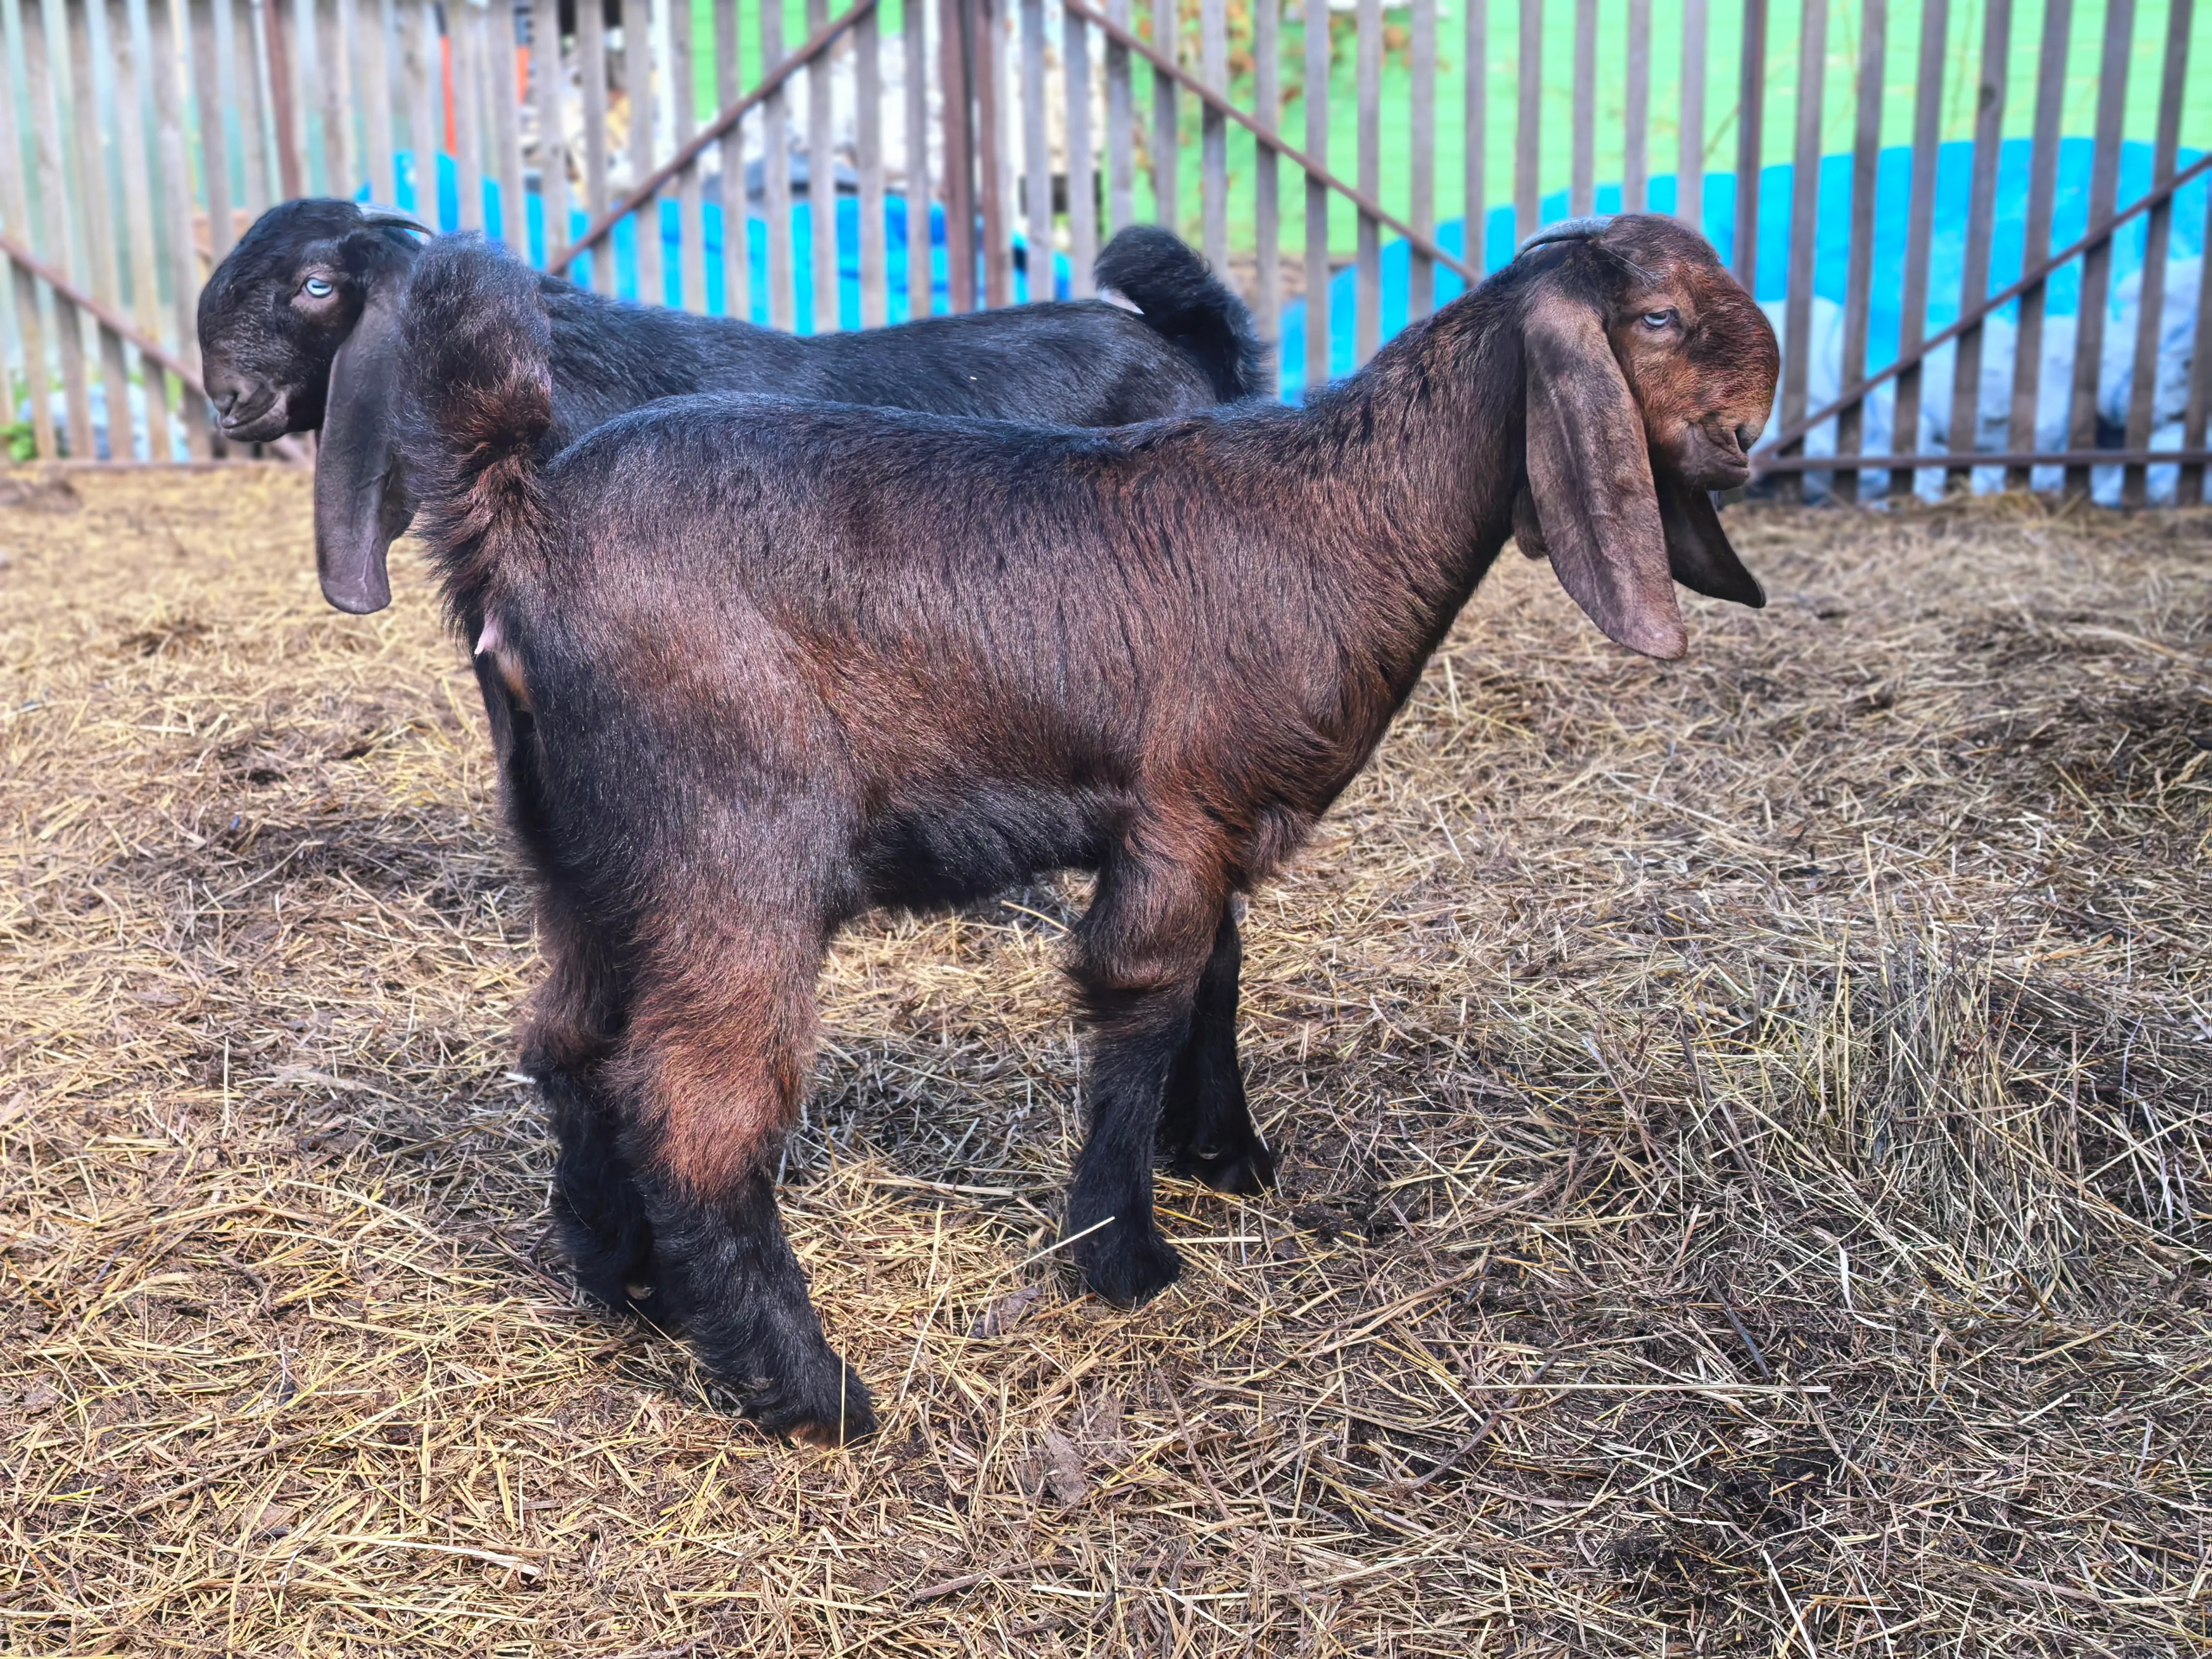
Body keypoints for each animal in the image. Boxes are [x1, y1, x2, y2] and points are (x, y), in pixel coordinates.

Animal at [394, 216, 1778, 1445]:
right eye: (1658, 319)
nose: (1746, 437)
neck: (1339, 513)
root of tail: (518, 520)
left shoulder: (1215, 824)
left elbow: (1217, 979)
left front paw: (1226, 1154)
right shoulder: (1178, 809)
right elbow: (1145, 996)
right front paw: (1123, 1254)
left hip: (585, 858)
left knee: (569, 1045)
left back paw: (619, 1281)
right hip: (730, 854)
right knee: (692, 1110)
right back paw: (814, 1392)